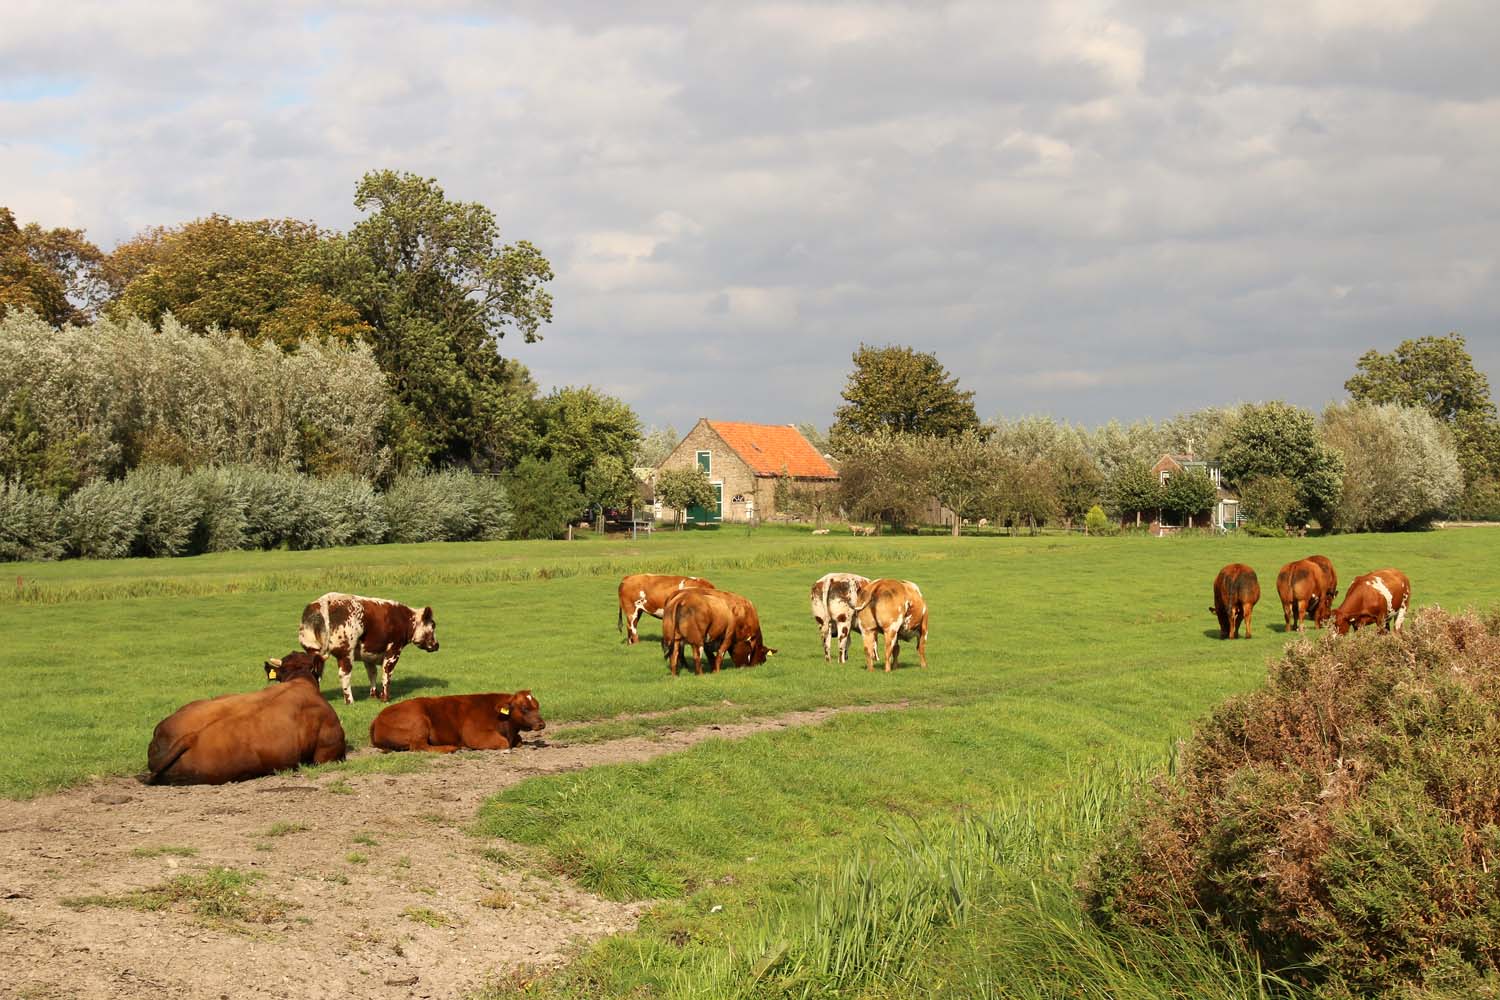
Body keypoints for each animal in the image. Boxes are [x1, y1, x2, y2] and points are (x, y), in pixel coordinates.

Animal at [297, 593, 438, 704]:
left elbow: (372, 673)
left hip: (312, 650)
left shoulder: (369, 654)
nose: (437, 645)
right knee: (344, 674)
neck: (405, 620)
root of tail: (324, 601)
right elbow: (386, 674)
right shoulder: (393, 650)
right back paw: (350, 701)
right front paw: (385, 698)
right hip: (346, 652)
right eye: (433, 625)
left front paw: (374, 695)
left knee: (314, 673)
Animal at [369, 692, 546, 755]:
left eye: (537, 706)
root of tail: (377, 717)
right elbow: (503, 743)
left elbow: (519, 741)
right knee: (419, 746)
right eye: (524, 708)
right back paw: (451, 748)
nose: (542, 724)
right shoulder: (474, 735)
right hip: (419, 721)